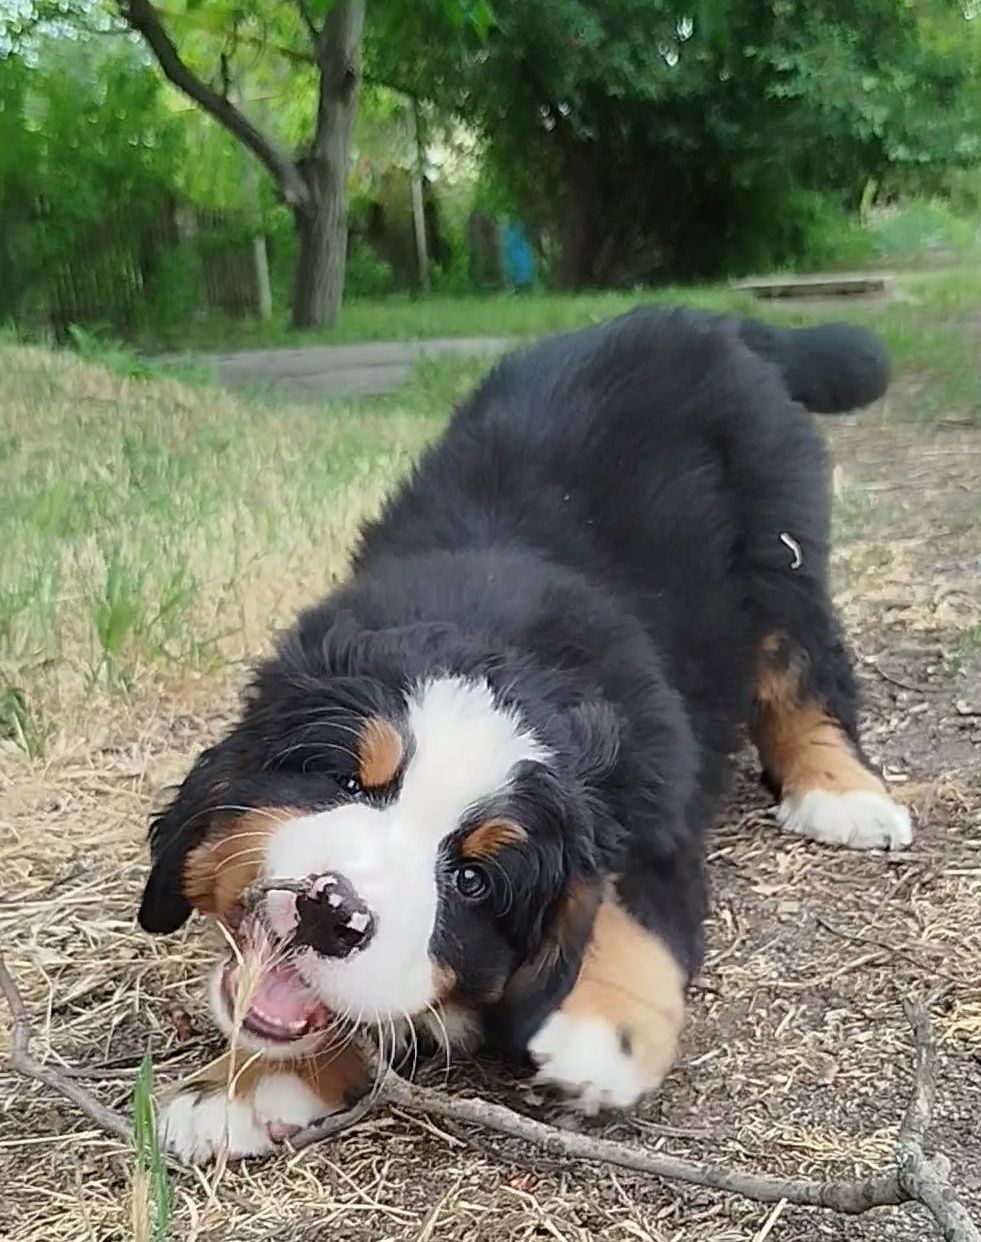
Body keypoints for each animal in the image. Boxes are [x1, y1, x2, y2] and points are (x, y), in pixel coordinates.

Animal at [138, 305, 913, 1157]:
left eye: (472, 879)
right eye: (343, 780)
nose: (329, 912)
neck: (499, 646)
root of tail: (693, 317)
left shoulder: (653, 812)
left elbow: (627, 915)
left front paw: (601, 1030)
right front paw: (236, 1087)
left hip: (781, 552)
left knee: (805, 670)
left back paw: (841, 793)